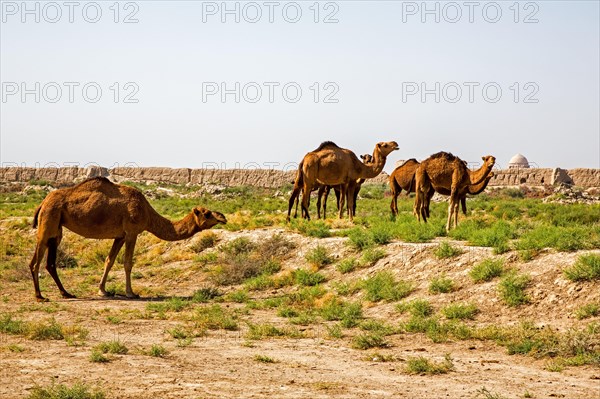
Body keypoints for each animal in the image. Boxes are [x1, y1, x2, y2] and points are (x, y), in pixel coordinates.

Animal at [28, 178, 226, 304]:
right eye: (207, 213)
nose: (223, 217)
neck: (148, 214)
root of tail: (42, 202)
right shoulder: (132, 232)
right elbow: (127, 263)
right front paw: (131, 293)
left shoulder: (120, 236)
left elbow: (109, 260)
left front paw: (103, 290)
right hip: (49, 219)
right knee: (35, 261)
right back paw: (40, 297)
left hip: (57, 227)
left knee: (50, 262)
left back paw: (66, 293)